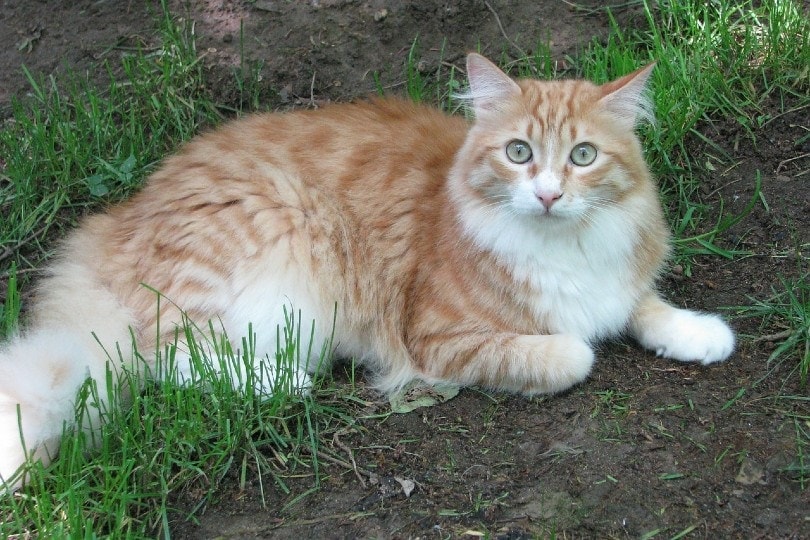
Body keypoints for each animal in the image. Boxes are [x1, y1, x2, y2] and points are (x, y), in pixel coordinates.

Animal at [0, 53, 732, 490]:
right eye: (520, 152)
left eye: (582, 156)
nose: (549, 195)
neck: (563, 244)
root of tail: (119, 216)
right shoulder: (437, 338)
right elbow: (572, 352)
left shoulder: (619, 280)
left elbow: (645, 305)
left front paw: (700, 334)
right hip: (277, 265)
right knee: (173, 359)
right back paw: (285, 380)